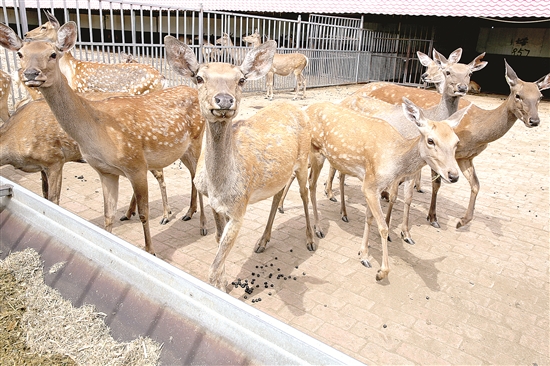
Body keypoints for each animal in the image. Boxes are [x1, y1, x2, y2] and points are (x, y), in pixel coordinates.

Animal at [0, 20, 209, 254]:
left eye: (53, 54)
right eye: (20, 54)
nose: (31, 74)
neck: (96, 130)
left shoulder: (135, 164)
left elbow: (144, 213)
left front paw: (150, 250)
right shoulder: (105, 171)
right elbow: (108, 217)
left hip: (196, 141)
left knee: (197, 176)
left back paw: (202, 225)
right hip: (180, 150)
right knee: (191, 176)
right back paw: (188, 213)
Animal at [164, 35, 314, 292]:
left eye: (241, 79)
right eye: (199, 77)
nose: (224, 100)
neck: (218, 186)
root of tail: (299, 110)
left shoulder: (239, 208)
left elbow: (213, 268)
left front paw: (221, 287)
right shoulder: (215, 204)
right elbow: (217, 243)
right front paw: (225, 284)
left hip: (303, 160)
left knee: (304, 194)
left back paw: (311, 239)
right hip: (279, 173)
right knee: (277, 195)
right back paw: (262, 241)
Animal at [308, 98, 468, 282]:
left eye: (457, 142)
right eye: (430, 140)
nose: (454, 175)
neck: (395, 158)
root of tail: (307, 108)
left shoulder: (374, 187)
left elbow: (369, 218)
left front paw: (363, 255)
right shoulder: (369, 185)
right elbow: (383, 227)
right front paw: (381, 271)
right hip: (315, 152)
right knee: (311, 184)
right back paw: (317, 229)